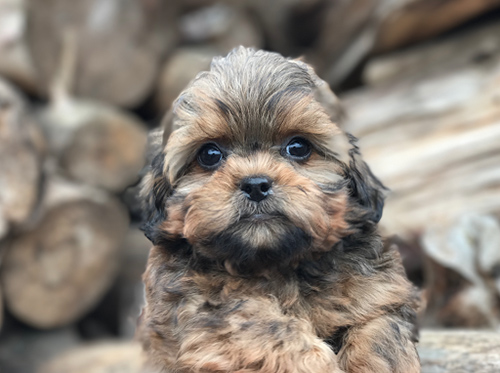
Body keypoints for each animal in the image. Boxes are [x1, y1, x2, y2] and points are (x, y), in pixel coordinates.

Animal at [139, 47, 420, 372]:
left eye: (298, 147)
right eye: (209, 154)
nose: (256, 184)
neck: (276, 264)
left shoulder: (379, 294)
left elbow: (380, 331)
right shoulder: (209, 314)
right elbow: (269, 328)